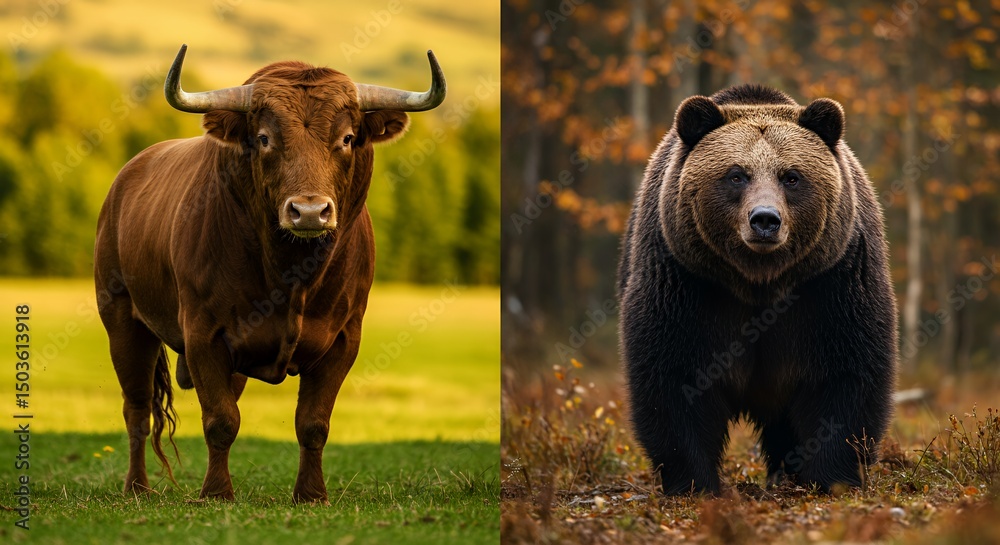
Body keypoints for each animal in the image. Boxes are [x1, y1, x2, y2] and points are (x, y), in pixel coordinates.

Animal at [94, 45, 445, 503]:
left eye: (347, 138)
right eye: (264, 139)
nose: (310, 211)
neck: (291, 272)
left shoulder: (344, 338)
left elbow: (313, 424)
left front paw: (311, 494)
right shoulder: (203, 333)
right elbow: (220, 421)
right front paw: (217, 493)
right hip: (122, 320)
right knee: (136, 408)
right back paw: (137, 487)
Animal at [617, 84, 897, 494]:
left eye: (791, 176)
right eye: (737, 175)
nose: (765, 219)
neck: (760, 282)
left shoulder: (832, 283)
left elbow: (845, 373)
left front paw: (832, 478)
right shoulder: (685, 281)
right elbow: (674, 377)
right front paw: (694, 483)